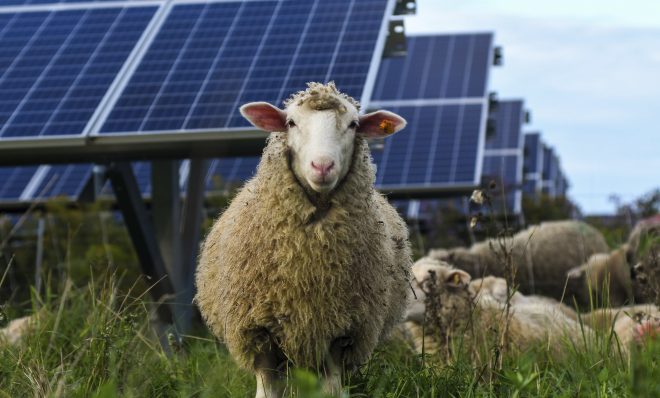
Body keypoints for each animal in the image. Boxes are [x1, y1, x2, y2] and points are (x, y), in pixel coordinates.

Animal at [196, 82, 412, 396]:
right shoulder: (258, 332)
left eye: (353, 124)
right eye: (291, 122)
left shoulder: (342, 333)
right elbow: (266, 391)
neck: (306, 264)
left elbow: (333, 389)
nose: (322, 166)